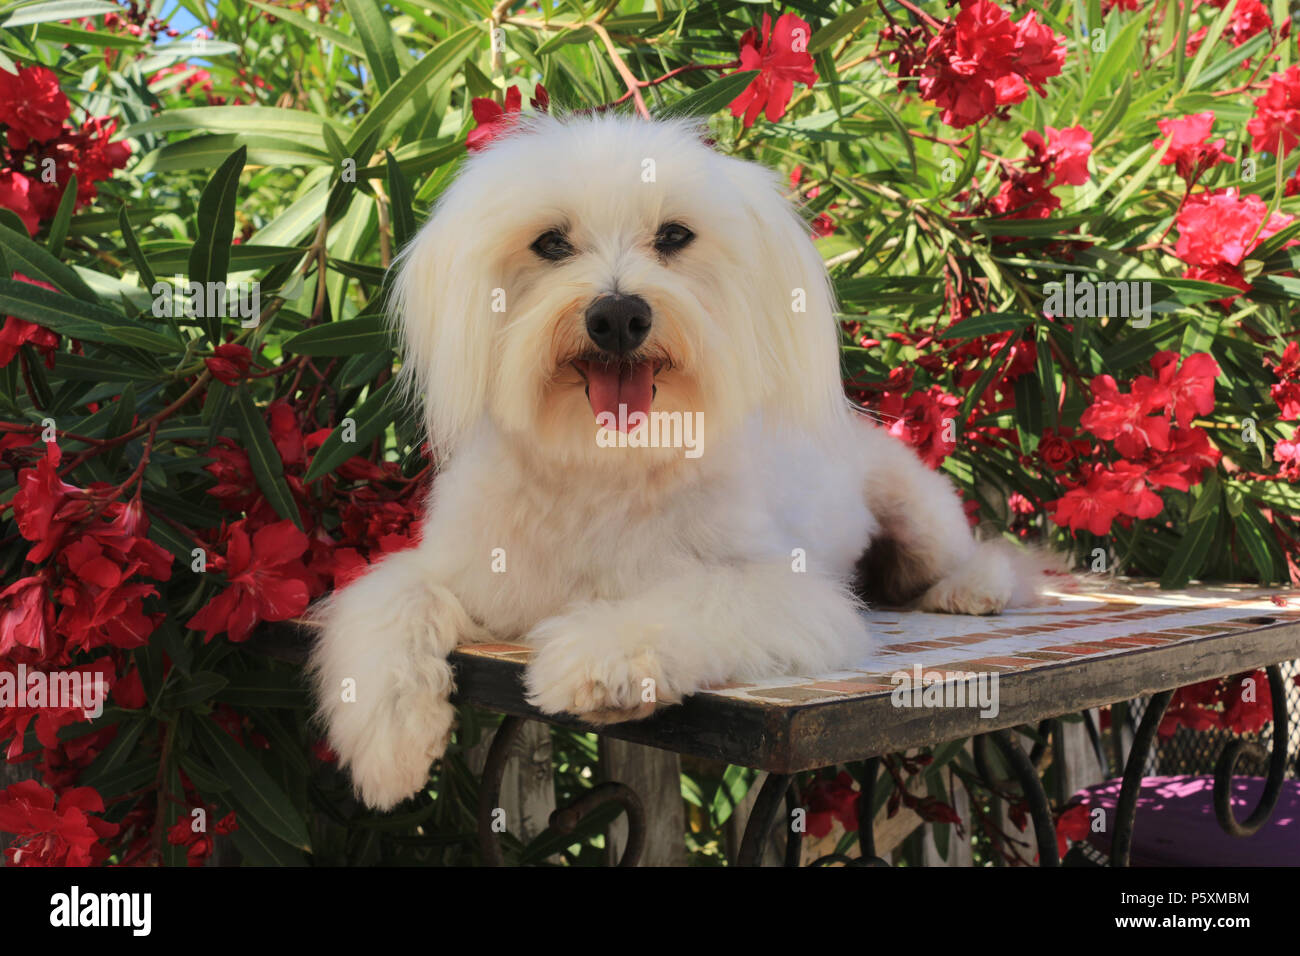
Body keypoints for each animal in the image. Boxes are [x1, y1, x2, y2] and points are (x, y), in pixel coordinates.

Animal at [306, 115, 1055, 811]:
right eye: (550, 243)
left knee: (986, 556)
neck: (604, 465)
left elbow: (687, 598)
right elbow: (392, 597)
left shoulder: (786, 591)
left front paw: (603, 656)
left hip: (915, 509)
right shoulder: (466, 569)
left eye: (673, 236)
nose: (617, 316)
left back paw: (971, 588)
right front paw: (389, 743)